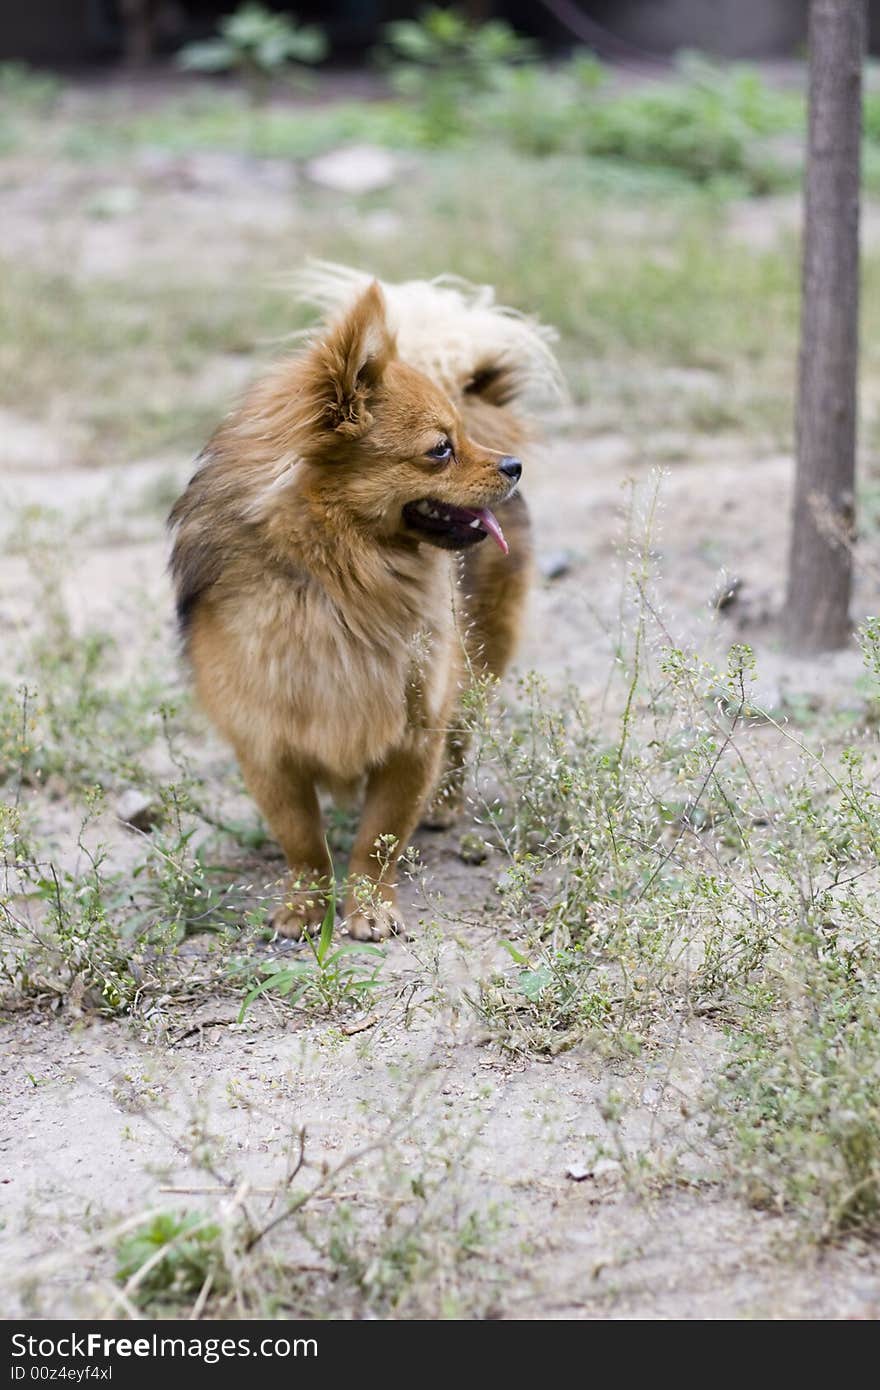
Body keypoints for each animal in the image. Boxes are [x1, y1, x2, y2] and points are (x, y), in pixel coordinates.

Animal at [168, 262, 558, 934]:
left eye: (461, 439)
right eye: (441, 448)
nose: (513, 466)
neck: (335, 583)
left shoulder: (413, 735)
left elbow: (379, 836)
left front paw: (370, 907)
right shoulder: (267, 747)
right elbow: (303, 840)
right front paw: (305, 906)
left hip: (478, 662)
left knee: (462, 738)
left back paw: (445, 806)